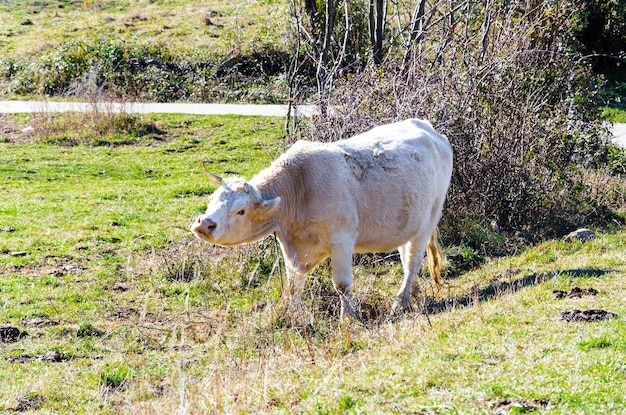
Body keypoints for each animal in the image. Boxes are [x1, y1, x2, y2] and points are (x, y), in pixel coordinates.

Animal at [191, 119, 454, 318]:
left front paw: (348, 318)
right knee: (405, 255)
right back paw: (414, 292)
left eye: (241, 211)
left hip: (429, 218)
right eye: (213, 199)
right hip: (406, 223)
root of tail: (429, 129)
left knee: (413, 260)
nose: (204, 224)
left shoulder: (341, 240)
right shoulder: (292, 247)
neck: (299, 188)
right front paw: (287, 314)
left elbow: (342, 284)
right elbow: (294, 284)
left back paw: (401, 302)